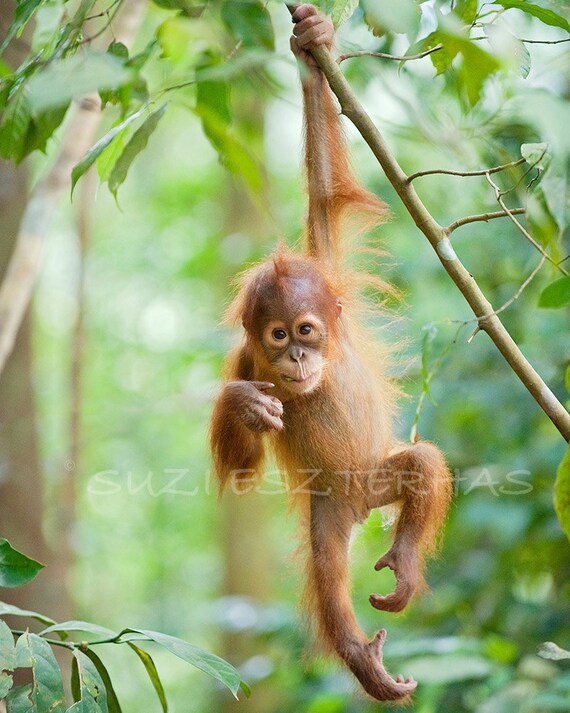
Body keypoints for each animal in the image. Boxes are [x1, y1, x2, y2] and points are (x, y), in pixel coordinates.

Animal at [210, 4, 452, 703]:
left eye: (308, 330)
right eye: (277, 337)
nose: (295, 361)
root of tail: (360, 503)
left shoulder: (329, 268)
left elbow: (323, 192)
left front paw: (312, 41)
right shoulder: (245, 363)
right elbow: (241, 466)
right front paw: (244, 406)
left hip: (377, 474)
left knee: (423, 464)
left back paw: (402, 567)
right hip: (329, 509)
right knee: (325, 568)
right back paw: (362, 656)